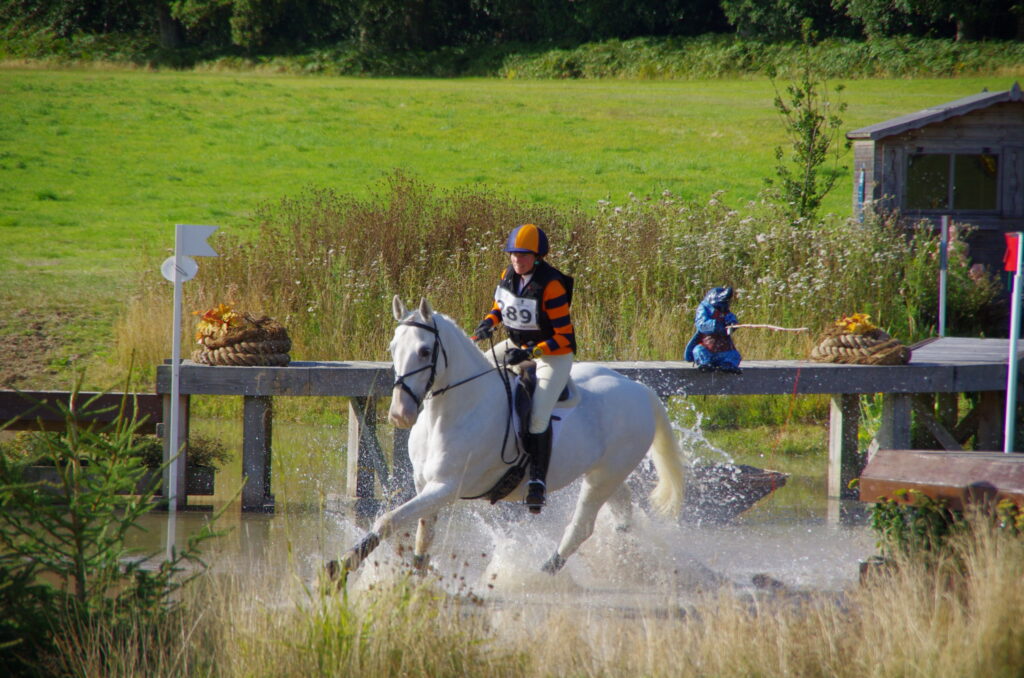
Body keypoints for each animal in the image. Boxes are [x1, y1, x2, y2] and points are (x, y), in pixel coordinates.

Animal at [332, 296, 685, 579]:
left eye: (424, 350)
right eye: (393, 349)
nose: (400, 414)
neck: (454, 411)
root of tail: (639, 389)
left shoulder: (446, 487)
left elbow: (388, 520)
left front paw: (341, 566)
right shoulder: (424, 484)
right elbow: (422, 536)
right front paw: (414, 580)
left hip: (604, 477)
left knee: (581, 527)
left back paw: (538, 576)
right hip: (604, 473)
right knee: (622, 512)